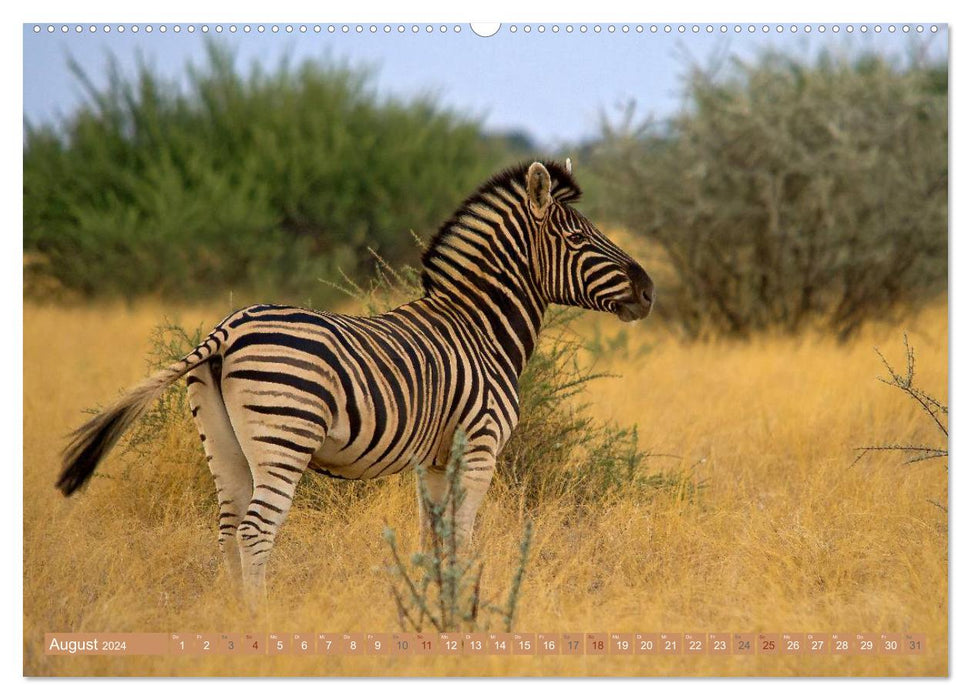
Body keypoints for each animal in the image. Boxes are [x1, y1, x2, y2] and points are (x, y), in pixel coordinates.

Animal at [57, 161, 656, 604]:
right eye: (577, 237)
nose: (649, 291)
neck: (481, 328)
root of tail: (229, 328)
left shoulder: (433, 460)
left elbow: (433, 534)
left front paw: (432, 603)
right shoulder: (481, 444)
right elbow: (462, 533)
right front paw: (461, 609)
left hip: (222, 442)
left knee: (227, 529)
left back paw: (229, 615)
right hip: (284, 436)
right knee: (255, 531)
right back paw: (257, 619)